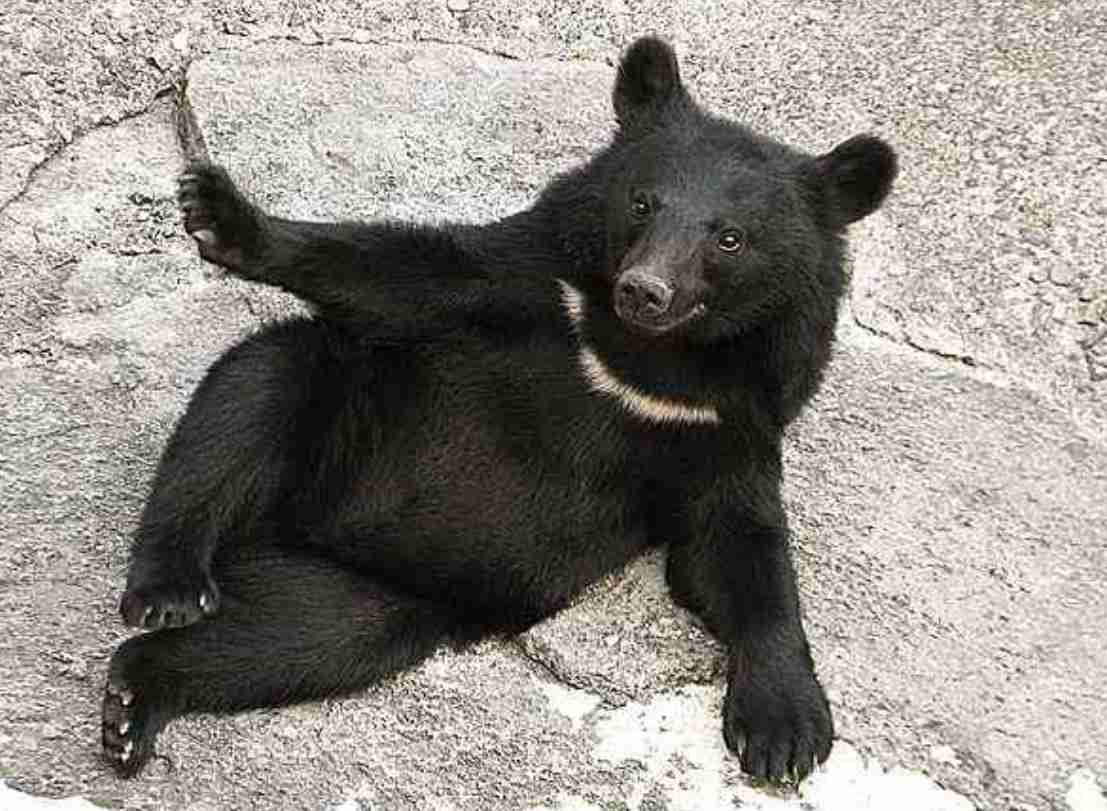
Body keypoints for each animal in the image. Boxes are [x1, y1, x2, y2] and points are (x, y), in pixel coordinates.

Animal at [101, 36, 897, 787]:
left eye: (729, 237)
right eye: (642, 203)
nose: (644, 290)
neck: (648, 355)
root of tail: (281, 537)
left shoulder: (729, 417)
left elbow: (735, 548)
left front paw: (784, 733)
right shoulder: (538, 276)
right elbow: (414, 272)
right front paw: (222, 215)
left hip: (373, 597)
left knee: (297, 640)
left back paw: (137, 698)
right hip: (336, 410)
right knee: (244, 403)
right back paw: (168, 591)